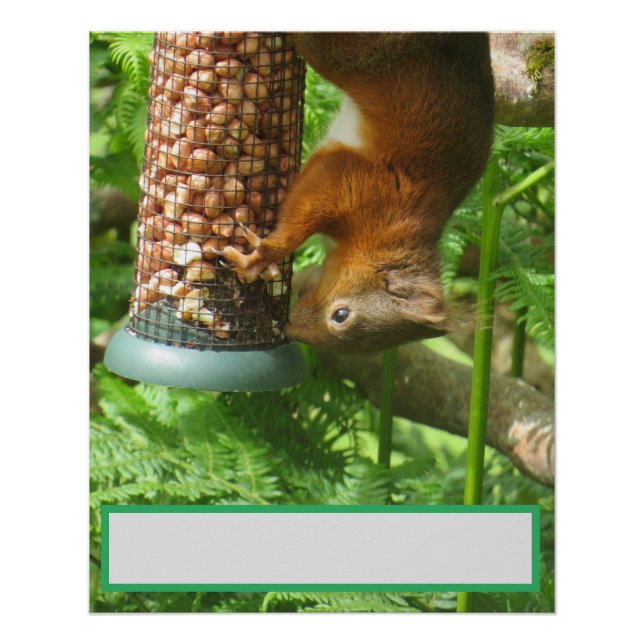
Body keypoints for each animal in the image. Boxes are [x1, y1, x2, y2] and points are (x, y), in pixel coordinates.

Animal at [222, 33, 495, 352]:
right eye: (341, 315)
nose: (290, 329)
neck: (381, 241)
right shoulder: (354, 182)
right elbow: (303, 213)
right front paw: (262, 256)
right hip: (356, 55)